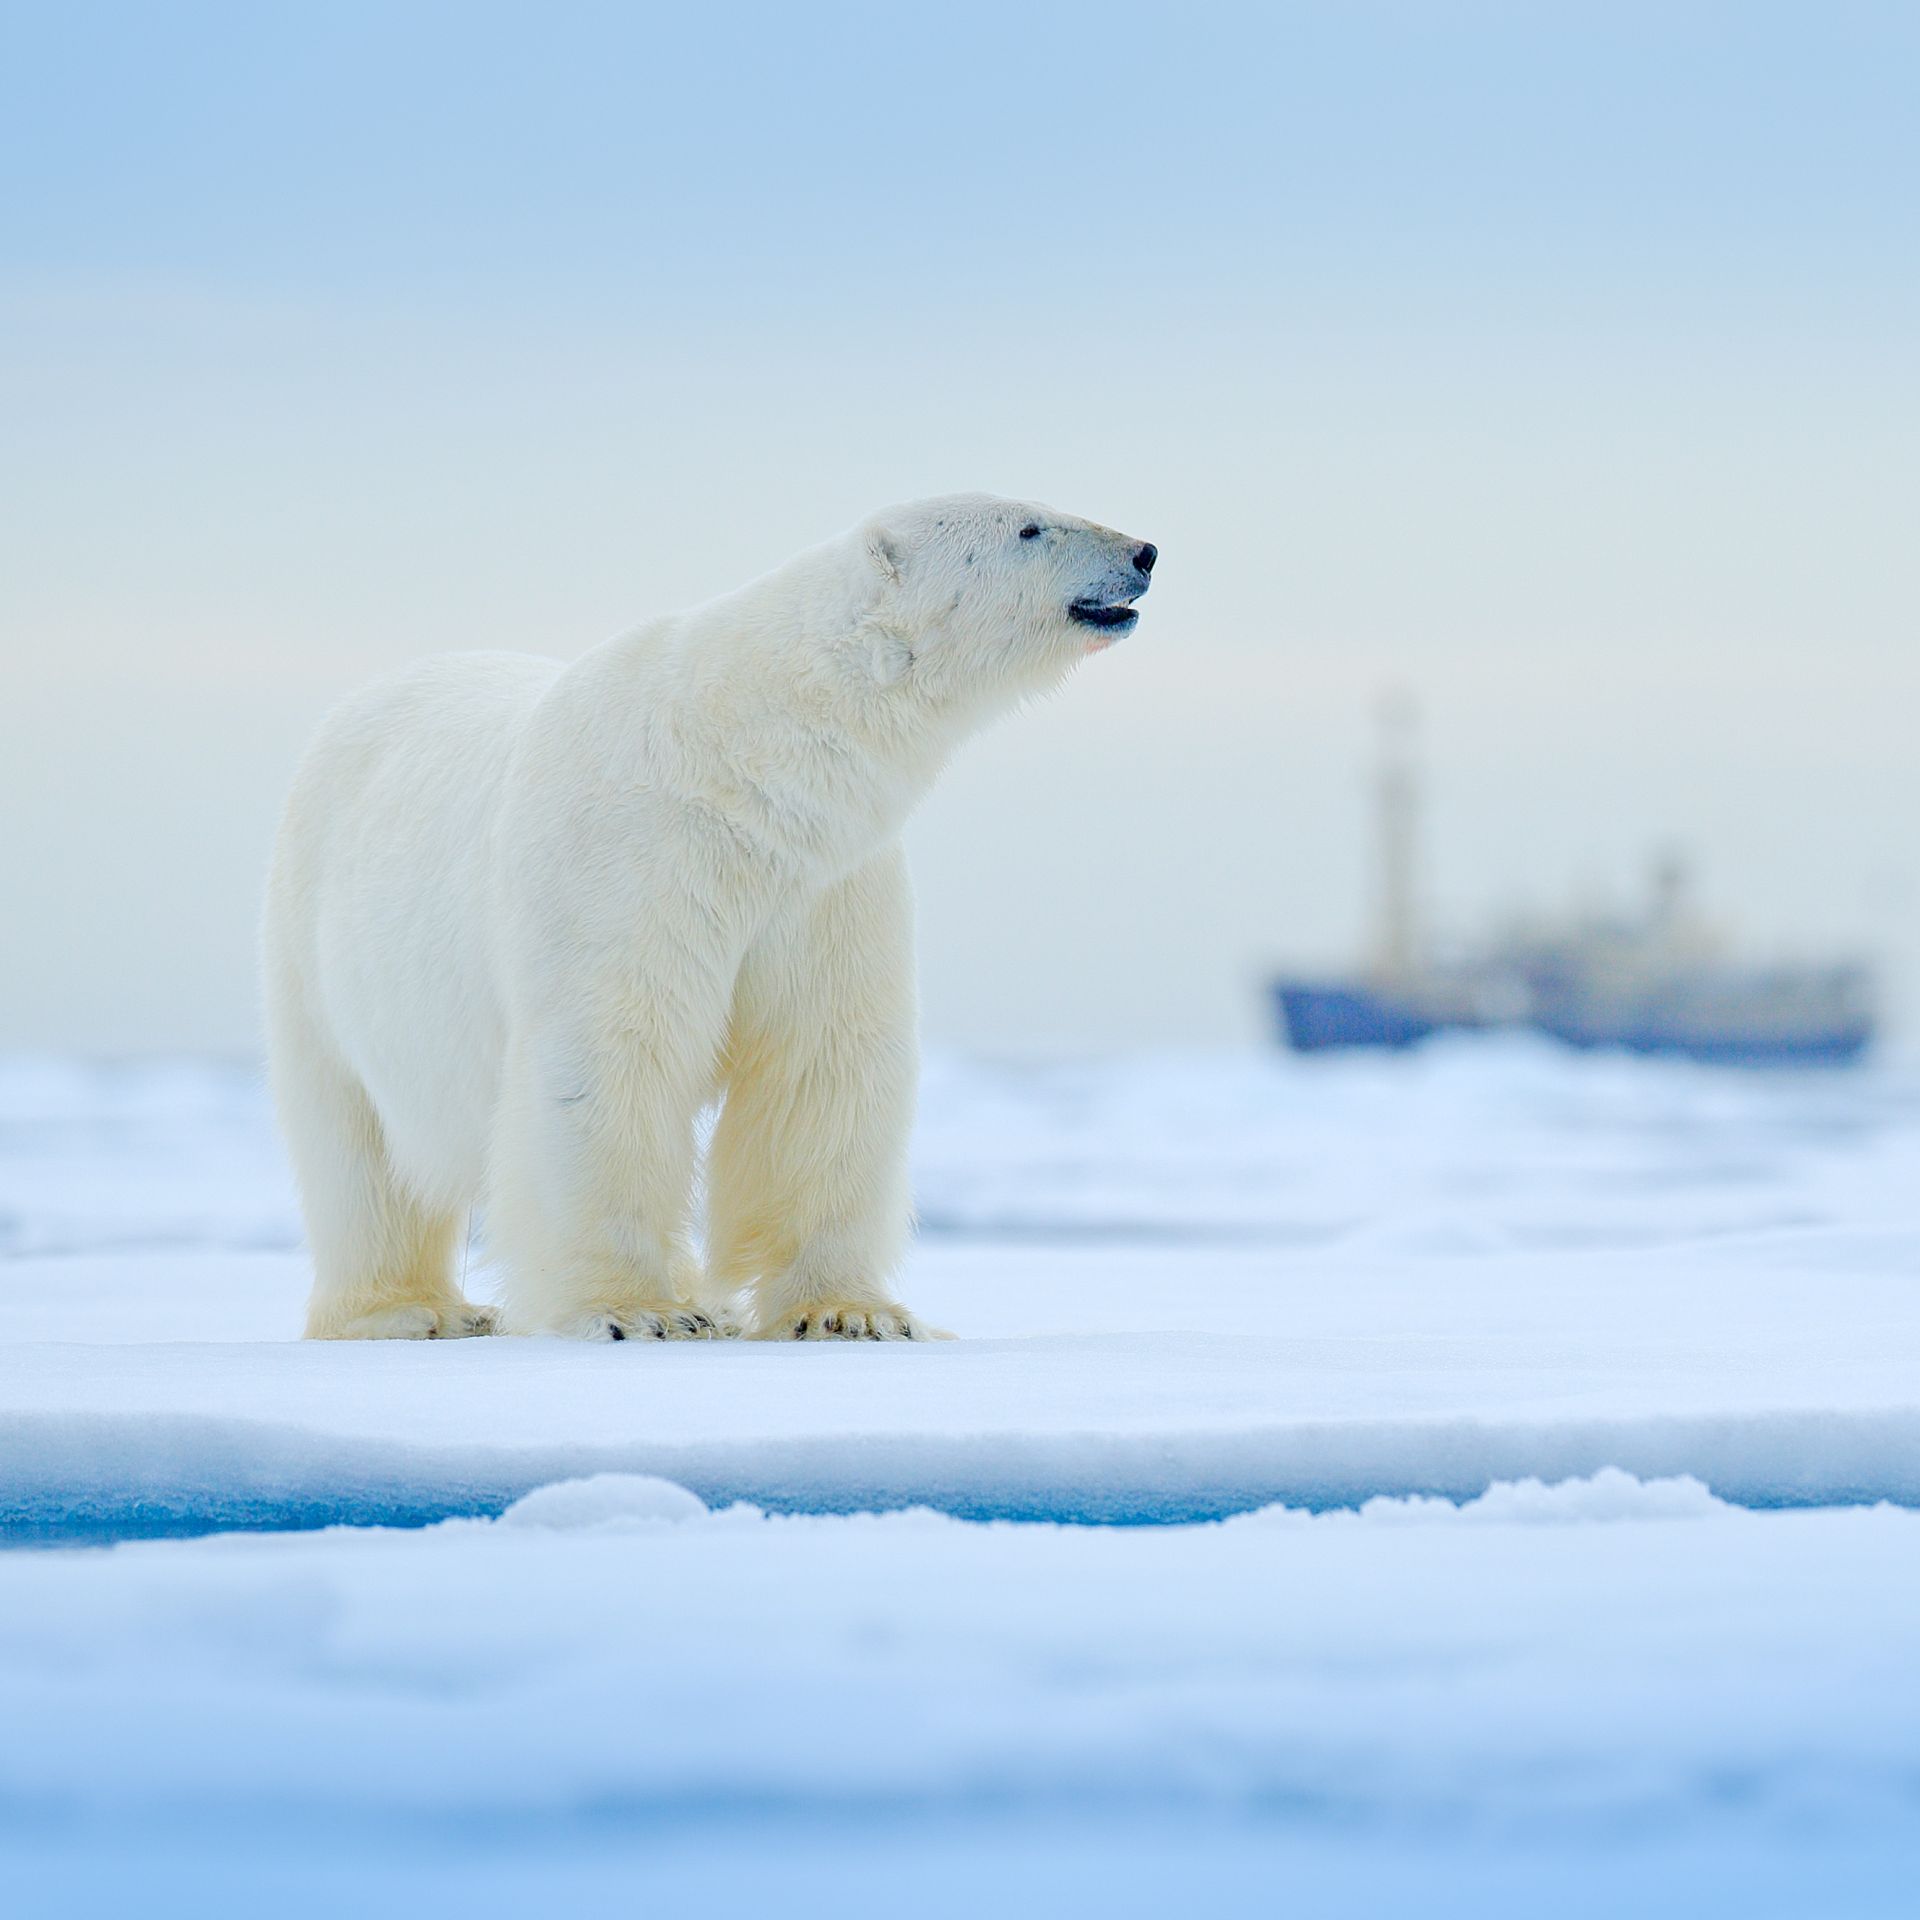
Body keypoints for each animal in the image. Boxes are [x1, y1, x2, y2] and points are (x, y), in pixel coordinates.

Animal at [261, 494, 1157, 1341]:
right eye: (1028, 527)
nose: (1144, 552)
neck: (740, 758)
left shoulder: (826, 882)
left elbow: (823, 1060)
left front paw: (849, 1313)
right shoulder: (632, 862)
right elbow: (610, 1054)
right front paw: (635, 1310)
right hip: (319, 945)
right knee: (356, 1149)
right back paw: (410, 1309)